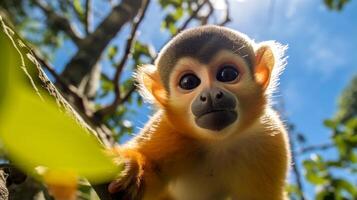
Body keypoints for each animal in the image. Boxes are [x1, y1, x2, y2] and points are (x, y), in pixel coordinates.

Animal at [108, 25, 290, 200]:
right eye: (188, 82)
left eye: (227, 74)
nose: (210, 95)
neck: (219, 142)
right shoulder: (167, 127)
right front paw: (132, 167)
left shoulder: (270, 136)